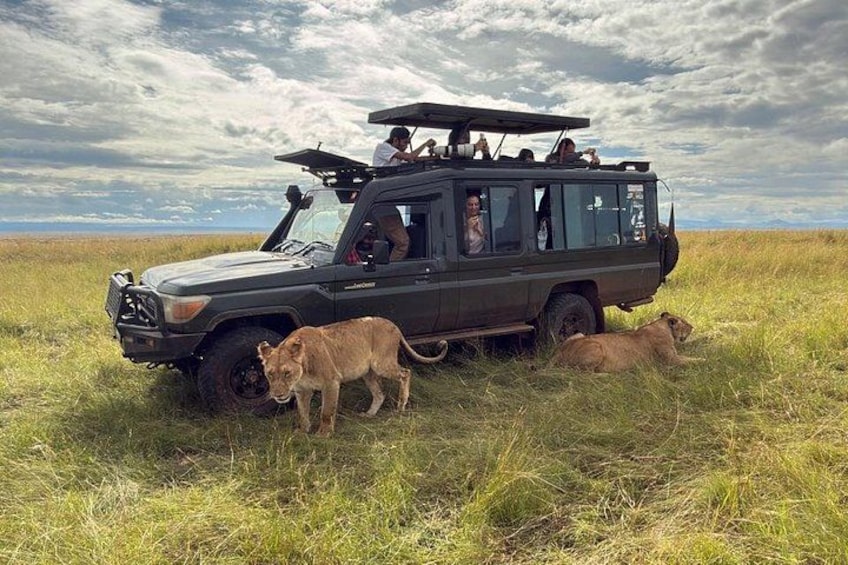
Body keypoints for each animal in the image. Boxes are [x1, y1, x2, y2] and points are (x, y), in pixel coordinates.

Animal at [257, 316, 448, 436]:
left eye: (287, 373)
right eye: (270, 374)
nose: (278, 395)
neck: (302, 371)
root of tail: (393, 325)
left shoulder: (331, 382)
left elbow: (327, 412)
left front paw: (323, 434)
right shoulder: (302, 391)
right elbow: (302, 413)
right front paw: (303, 432)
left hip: (381, 364)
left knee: (405, 373)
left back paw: (401, 405)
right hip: (368, 373)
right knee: (380, 393)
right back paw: (369, 414)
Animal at [548, 312, 701, 373]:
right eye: (684, 323)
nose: (693, 327)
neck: (662, 325)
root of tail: (559, 353)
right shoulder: (671, 360)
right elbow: (693, 360)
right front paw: (705, 361)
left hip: (578, 334)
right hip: (597, 347)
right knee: (583, 374)